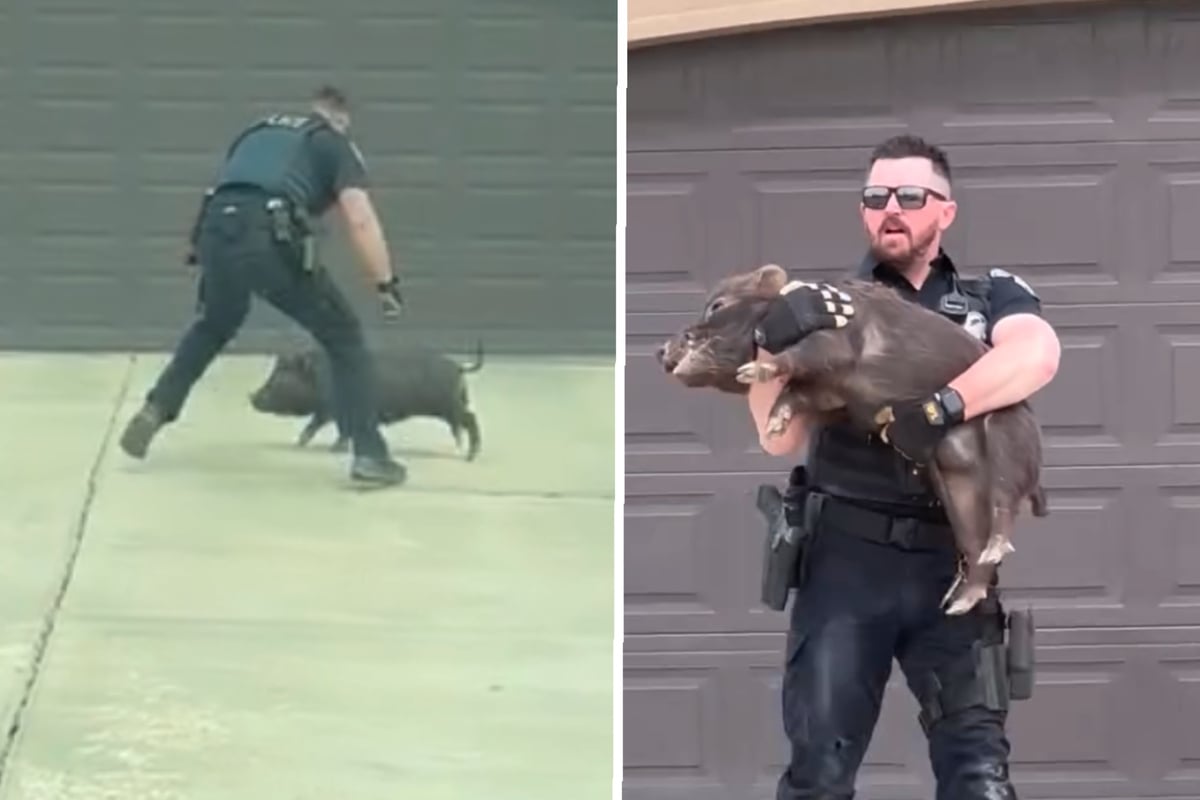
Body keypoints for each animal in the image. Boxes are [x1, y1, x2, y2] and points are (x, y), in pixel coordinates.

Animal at [657, 266, 1051, 618]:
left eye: (717, 306)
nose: (661, 349)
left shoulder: (838, 341)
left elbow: (799, 357)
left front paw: (755, 371)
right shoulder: (828, 394)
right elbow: (793, 394)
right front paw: (774, 426)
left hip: (1008, 437)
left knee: (1005, 503)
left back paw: (991, 553)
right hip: (955, 485)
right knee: (973, 544)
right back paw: (955, 604)